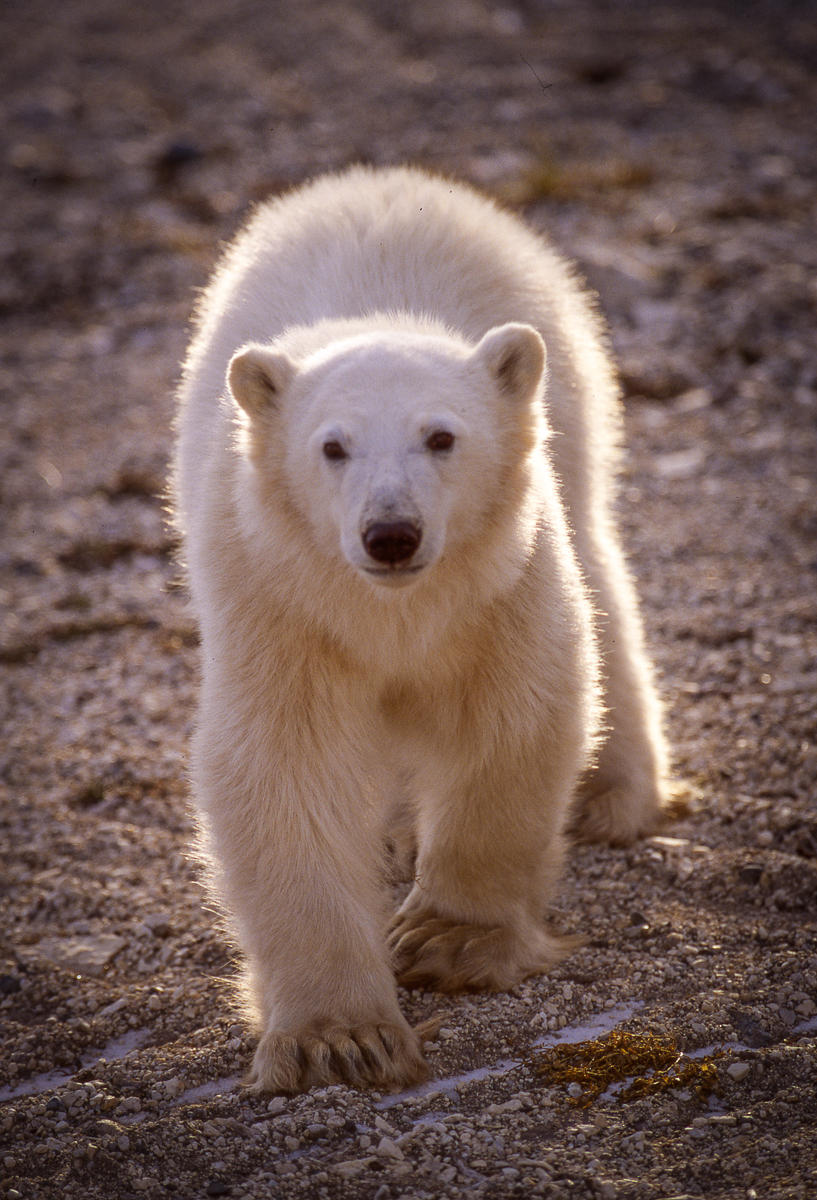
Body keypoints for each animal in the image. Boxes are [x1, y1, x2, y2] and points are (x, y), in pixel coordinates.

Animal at [173, 164, 673, 1095]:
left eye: (441, 437)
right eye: (331, 447)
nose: (391, 534)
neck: (392, 608)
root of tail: (383, 179)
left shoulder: (497, 583)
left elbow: (516, 714)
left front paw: (448, 939)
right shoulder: (276, 598)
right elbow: (286, 766)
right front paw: (338, 1038)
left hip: (567, 407)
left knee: (601, 578)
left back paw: (608, 795)